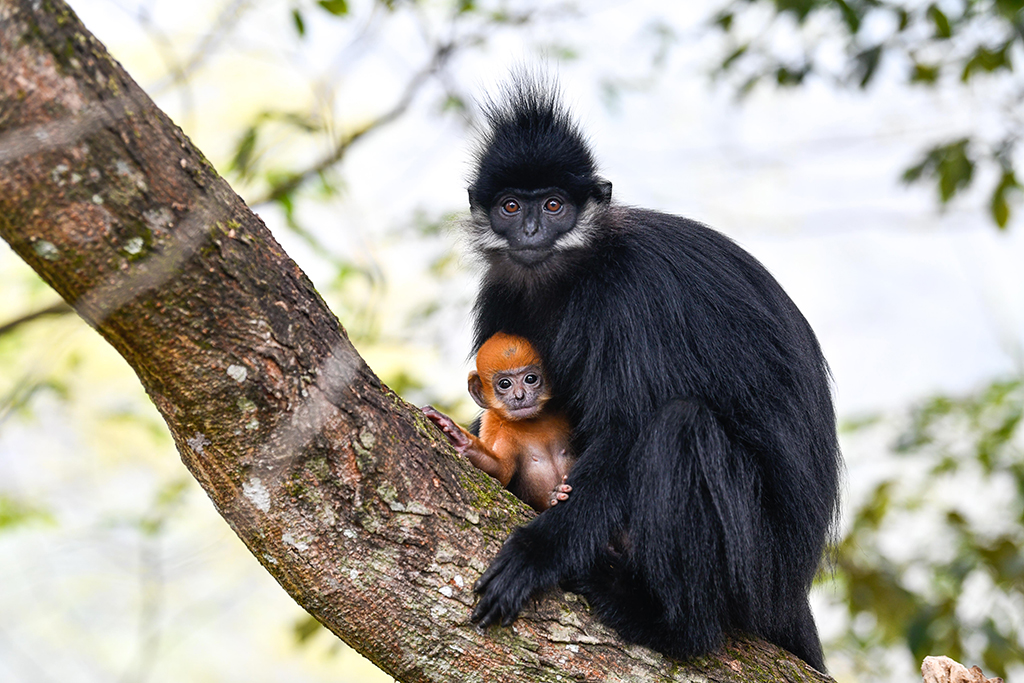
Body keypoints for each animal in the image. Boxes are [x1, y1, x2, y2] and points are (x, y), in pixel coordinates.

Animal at [419, 333, 573, 509]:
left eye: (530, 378)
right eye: (505, 383)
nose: (519, 396)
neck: (534, 421)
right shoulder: (496, 423)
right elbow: (501, 470)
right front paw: (460, 439)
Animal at [468, 76, 843, 671]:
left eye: (553, 205)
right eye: (510, 205)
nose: (530, 229)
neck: (569, 273)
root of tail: (792, 590)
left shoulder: (629, 294)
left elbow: (624, 431)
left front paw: (537, 552)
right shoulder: (500, 293)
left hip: (759, 565)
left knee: (679, 427)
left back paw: (672, 625)